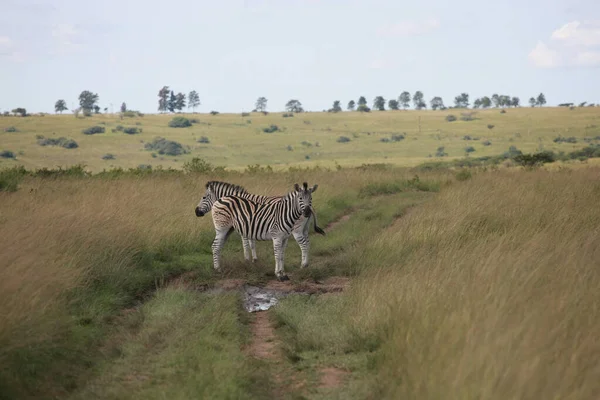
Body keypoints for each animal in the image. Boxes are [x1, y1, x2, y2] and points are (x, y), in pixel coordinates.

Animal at [195, 180, 326, 268]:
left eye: (204, 197)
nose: (196, 212)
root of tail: (310, 208)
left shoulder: (246, 225)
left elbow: (246, 244)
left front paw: (247, 259)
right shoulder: (250, 225)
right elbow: (252, 243)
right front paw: (254, 259)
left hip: (297, 230)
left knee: (303, 244)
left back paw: (303, 265)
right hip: (304, 228)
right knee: (308, 242)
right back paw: (306, 263)